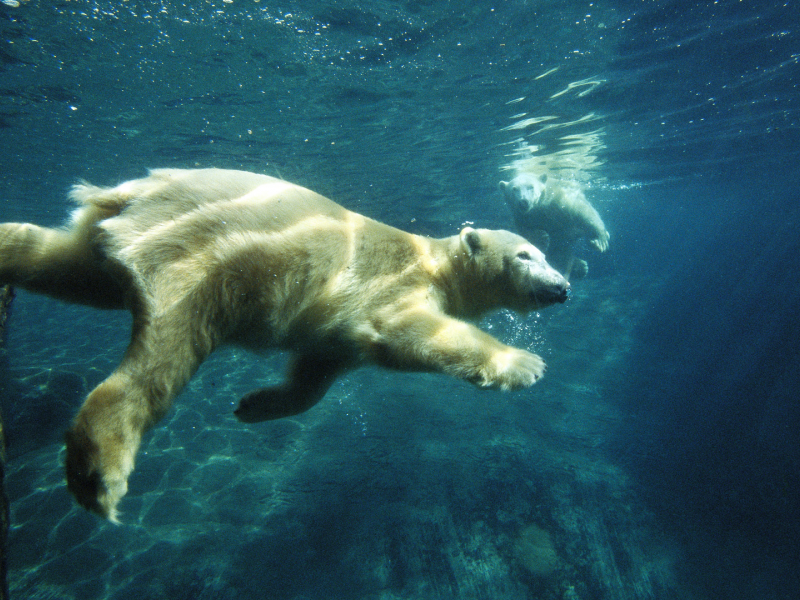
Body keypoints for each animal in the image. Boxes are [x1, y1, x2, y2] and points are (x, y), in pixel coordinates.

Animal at [3, 169, 572, 520]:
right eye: (527, 254)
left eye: (544, 254)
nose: (564, 286)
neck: (433, 259)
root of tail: (129, 192)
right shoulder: (391, 285)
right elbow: (405, 332)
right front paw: (523, 363)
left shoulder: (334, 332)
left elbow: (317, 371)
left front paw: (254, 404)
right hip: (201, 256)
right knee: (161, 357)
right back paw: (100, 472)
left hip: (125, 241)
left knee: (65, 265)